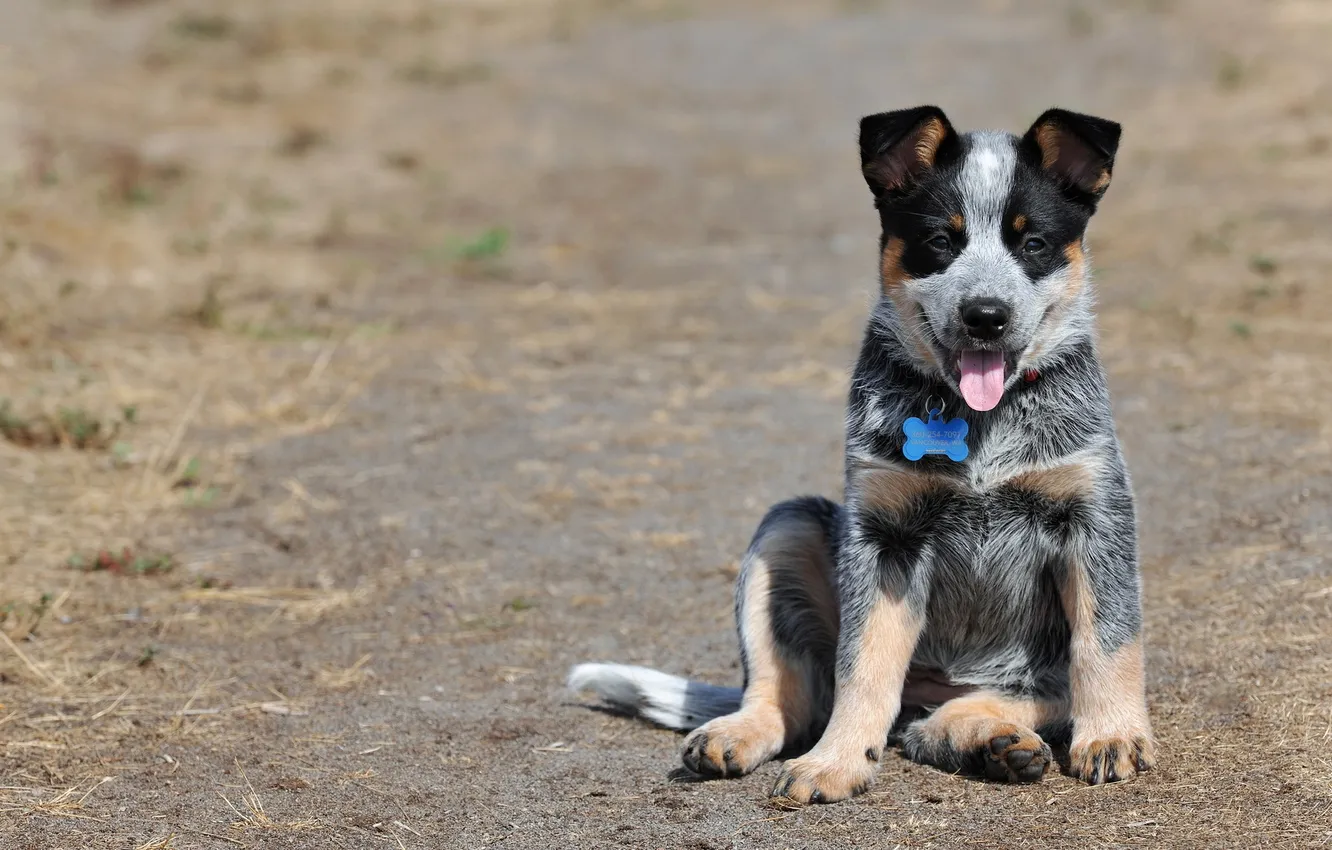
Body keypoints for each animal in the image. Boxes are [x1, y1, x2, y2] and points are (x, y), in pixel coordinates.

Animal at [572, 106, 1156, 804]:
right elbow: (862, 666)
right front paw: (835, 762)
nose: (985, 315)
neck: (979, 423)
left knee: (957, 718)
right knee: (800, 695)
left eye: (1033, 243)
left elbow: (1107, 641)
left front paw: (1113, 736)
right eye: (940, 241)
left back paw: (995, 740)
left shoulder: (1095, 515)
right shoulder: (884, 535)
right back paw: (738, 732)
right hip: (789, 525)